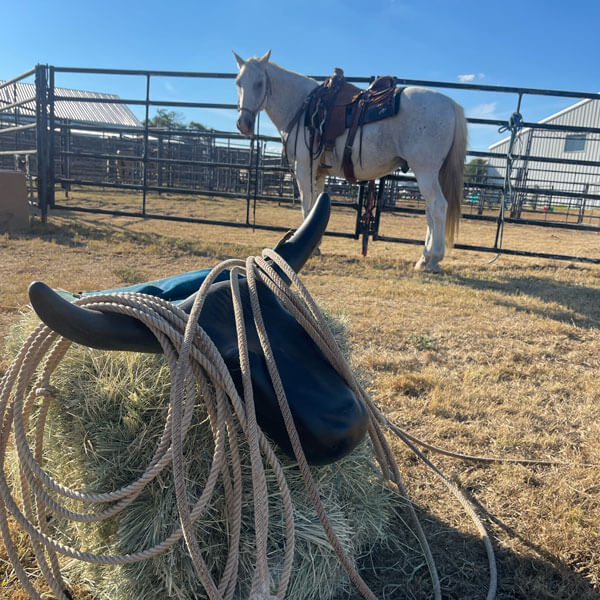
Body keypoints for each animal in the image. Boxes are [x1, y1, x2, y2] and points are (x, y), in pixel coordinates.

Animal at [232, 51, 466, 272]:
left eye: (259, 83)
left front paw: (313, 249)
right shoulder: (318, 173)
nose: (243, 124)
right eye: (238, 82)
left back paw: (432, 259)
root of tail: (451, 104)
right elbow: (316, 205)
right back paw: (423, 259)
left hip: (425, 171)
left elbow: (306, 206)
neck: (301, 107)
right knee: (429, 212)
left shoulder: (303, 168)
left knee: (437, 206)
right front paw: (316, 244)